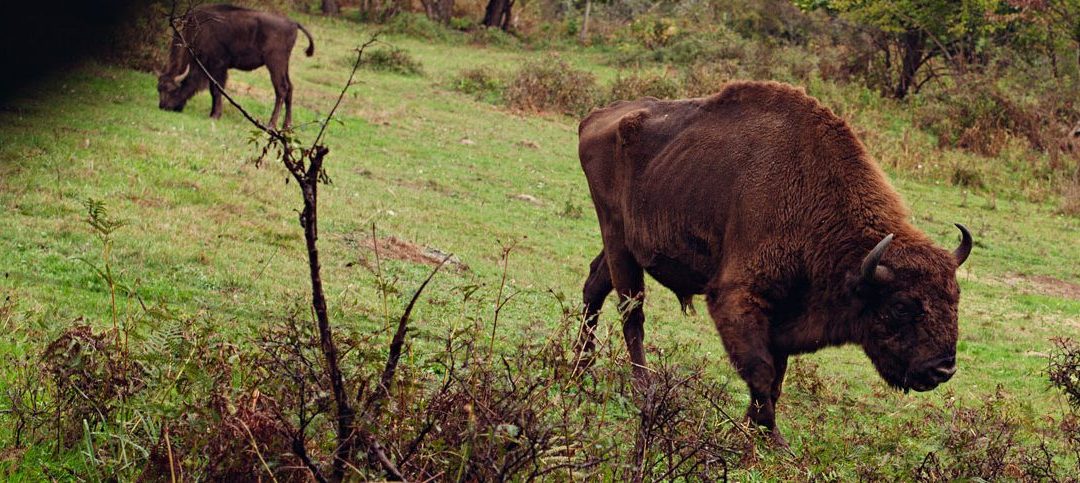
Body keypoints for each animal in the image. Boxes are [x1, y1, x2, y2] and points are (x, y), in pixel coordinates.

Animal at [156, 3, 315, 128]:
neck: (198, 31)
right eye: (159, 89)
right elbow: (214, 90)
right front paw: (213, 113)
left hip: (275, 62)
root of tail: (293, 23)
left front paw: (215, 115)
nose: (164, 107)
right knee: (290, 88)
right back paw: (287, 126)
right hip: (284, 65)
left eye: (172, 90)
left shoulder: (218, 66)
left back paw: (271, 125)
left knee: (281, 89)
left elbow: (216, 90)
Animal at [578, 80, 976, 445]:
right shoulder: (737, 298)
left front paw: (755, 429)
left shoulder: (784, 316)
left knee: (595, 286)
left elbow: (776, 376)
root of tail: (595, 117)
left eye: (955, 298)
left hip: (622, 247)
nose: (942, 369)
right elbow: (761, 370)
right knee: (632, 315)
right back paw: (642, 386)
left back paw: (581, 368)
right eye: (900, 306)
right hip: (618, 241)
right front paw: (773, 437)